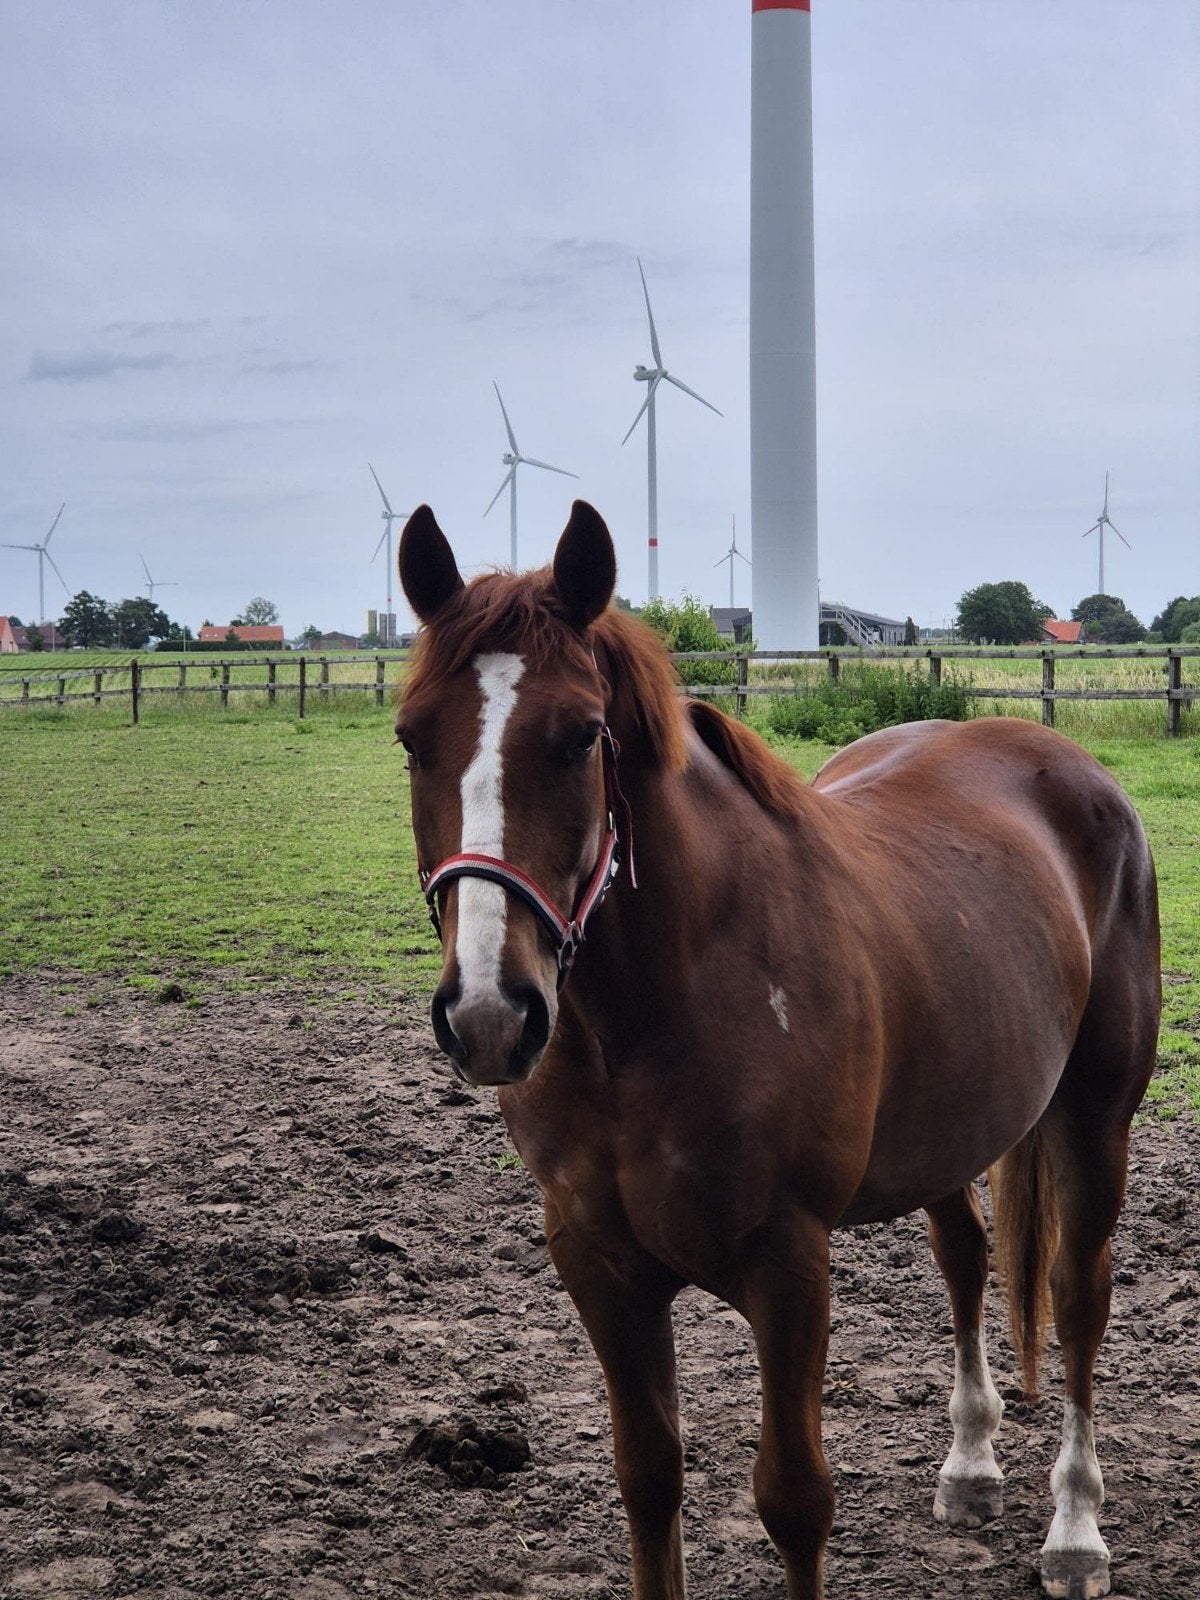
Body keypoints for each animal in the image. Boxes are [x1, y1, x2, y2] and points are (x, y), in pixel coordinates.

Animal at [395, 500, 1160, 1600]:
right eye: (412, 737)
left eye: (580, 736)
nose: (492, 1013)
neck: (653, 1019)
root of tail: (1065, 763)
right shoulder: (598, 1262)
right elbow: (648, 1477)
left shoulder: (789, 1264)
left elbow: (795, 1499)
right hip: (952, 1123)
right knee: (966, 1259)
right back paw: (971, 1466)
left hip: (1096, 1121)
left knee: (1078, 1293)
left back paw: (1075, 1531)